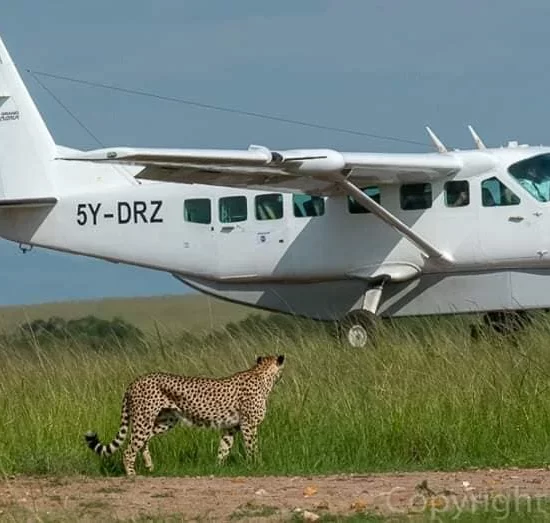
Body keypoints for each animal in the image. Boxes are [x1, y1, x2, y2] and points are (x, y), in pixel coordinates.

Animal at [85, 356, 288, 474]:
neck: (262, 374)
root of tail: (135, 381)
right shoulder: (248, 425)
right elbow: (253, 447)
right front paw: (258, 465)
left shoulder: (230, 428)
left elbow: (223, 449)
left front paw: (217, 468)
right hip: (144, 420)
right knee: (128, 450)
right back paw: (132, 475)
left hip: (165, 420)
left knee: (143, 442)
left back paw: (150, 467)